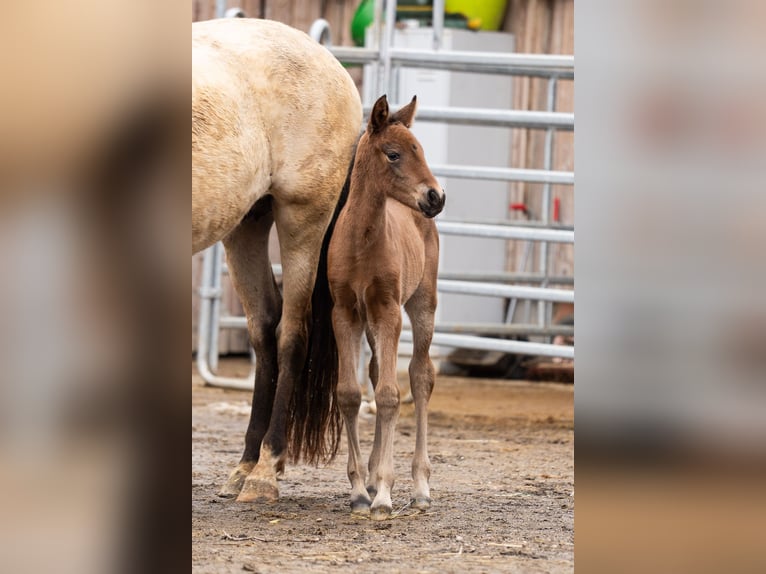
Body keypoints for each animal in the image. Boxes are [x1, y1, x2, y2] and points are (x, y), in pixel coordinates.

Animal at [192, 18, 362, 503]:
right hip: (246, 224)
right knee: (264, 330)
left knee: (290, 335)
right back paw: (246, 464)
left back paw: (265, 471)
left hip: (302, 219)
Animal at [327, 94, 446, 520]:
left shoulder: (389, 309)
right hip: (372, 323)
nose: (436, 197)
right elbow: (351, 393)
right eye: (393, 154)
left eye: (420, 150)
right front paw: (361, 491)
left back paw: (421, 487)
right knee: (379, 373)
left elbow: (391, 396)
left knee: (420, 375)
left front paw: (383, 495)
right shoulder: (345, 312)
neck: (362, 243)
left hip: (423, 303)